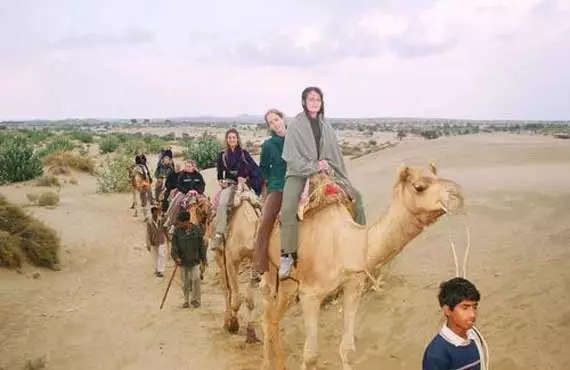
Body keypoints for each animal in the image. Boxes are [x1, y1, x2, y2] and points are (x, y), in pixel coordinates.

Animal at [260, 165, 464, 370]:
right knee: (269, 314)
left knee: (272, 316)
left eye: (436, 174)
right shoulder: (309, 294)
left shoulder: (353, 284)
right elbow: (311, 356)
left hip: (290, 282)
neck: (346, 246)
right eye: (419, 187)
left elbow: (346, 348)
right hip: (274, 272)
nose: (458, 195)